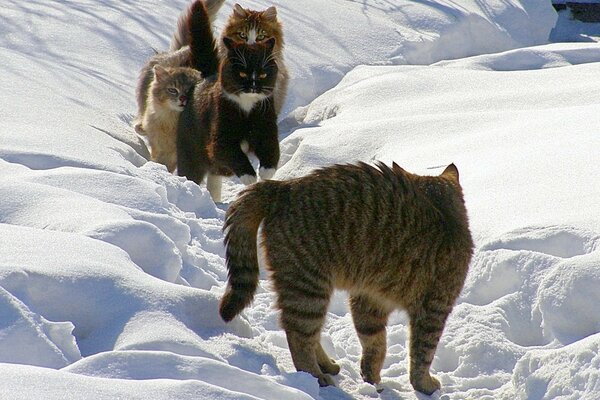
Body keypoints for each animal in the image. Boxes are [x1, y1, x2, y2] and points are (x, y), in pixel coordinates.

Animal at [175, 1, 280, 203]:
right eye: (242, 73)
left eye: (263, 74)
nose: (253, 86)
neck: (247, 107)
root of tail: (207, 75)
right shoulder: (220, 135)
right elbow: (232, 152)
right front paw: (250, 177)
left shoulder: (266, 123)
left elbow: (271, 147)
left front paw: (265, 172)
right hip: (190, 150)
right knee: (193, 171)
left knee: (215, 177)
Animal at [219, 162, 474, 394]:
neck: (444, 214)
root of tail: (284, 187)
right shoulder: (434, 310)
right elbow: (422, 354)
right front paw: (423, 385)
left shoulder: (369, 300)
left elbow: (375, 344)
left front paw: (371, 377)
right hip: (309, 288)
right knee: (298, 335)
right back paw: (316, 376)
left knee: (309, 333)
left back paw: (326, 364)